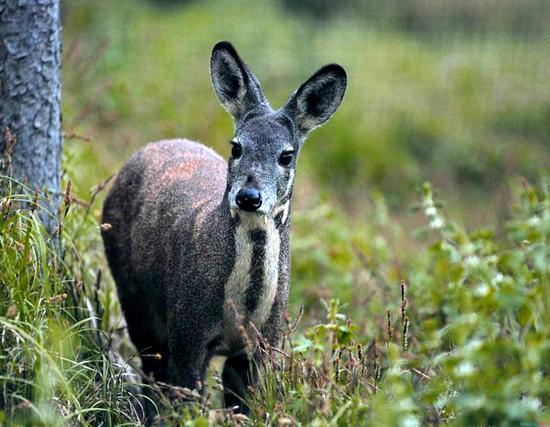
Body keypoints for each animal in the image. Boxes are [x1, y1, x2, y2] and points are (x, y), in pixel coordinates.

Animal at [101, 41, 348, 416]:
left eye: (287, 155)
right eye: (236, 146)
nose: (248, 197)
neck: (241, 311)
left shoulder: (261, 346)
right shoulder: (187, 331)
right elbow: (186, 400)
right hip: (133, 294)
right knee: (151, 369)